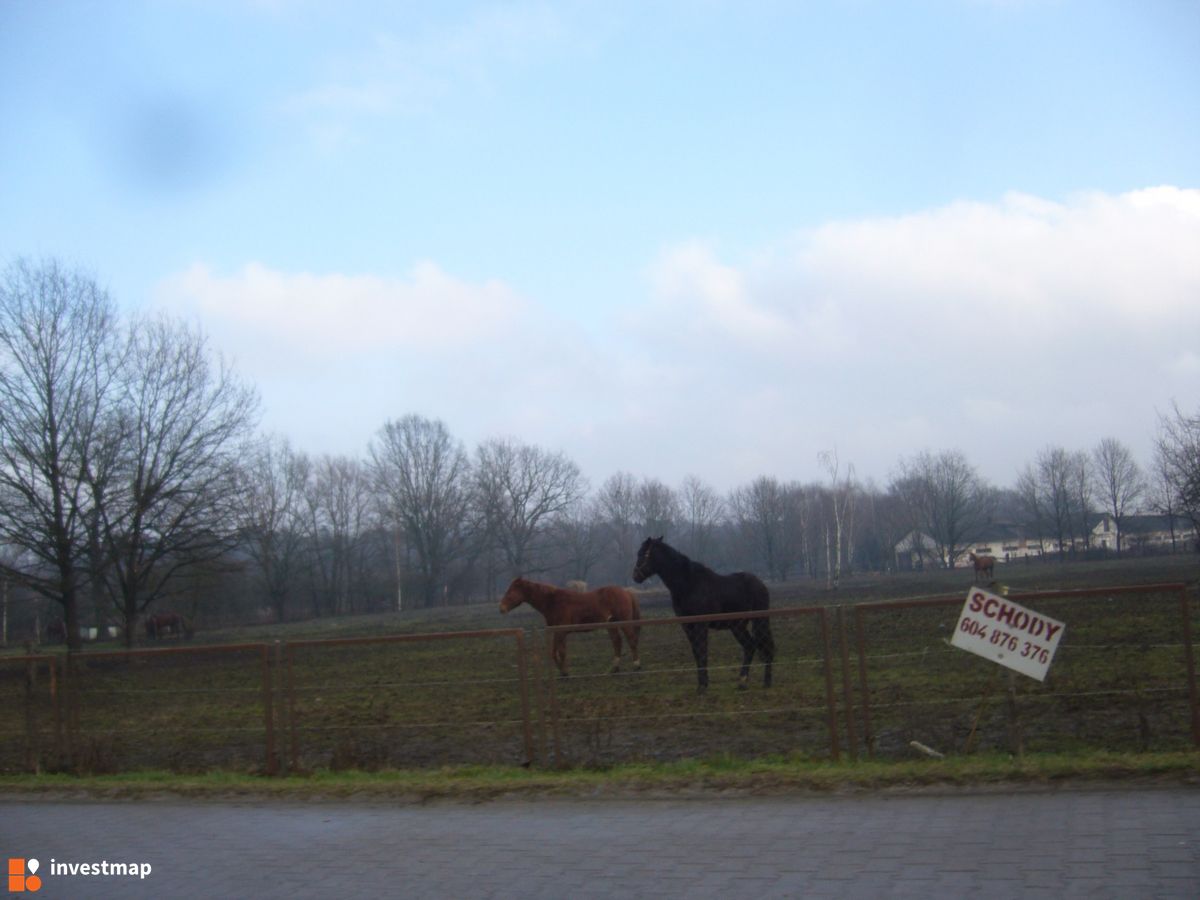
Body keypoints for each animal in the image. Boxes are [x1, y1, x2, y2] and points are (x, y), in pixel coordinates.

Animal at [501, 580, 643, 681]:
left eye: (510, 592)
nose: (501, 608)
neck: (553, 602)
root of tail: (626, 592)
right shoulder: (556, 632)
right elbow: (555, 652)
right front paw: (563, 672)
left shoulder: (561, 632)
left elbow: (561, 652)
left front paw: (565, 673)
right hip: (611, 625)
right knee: (617, 642)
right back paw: (614, 669)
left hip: (624, 623)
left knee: (631, 640)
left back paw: (636, 666)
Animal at [633, 540, 772, 696]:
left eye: (643, 554)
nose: (635, 575)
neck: (689, 584)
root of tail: (761, 584)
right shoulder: (687, 626)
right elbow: (696, 652)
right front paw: (702, 684)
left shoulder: (701, 624)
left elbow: (702, 651)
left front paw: (702, 686)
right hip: (738, 626)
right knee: (750, 646)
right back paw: (743, 682)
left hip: (759, 621)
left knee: (764, 647)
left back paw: (764, 682)